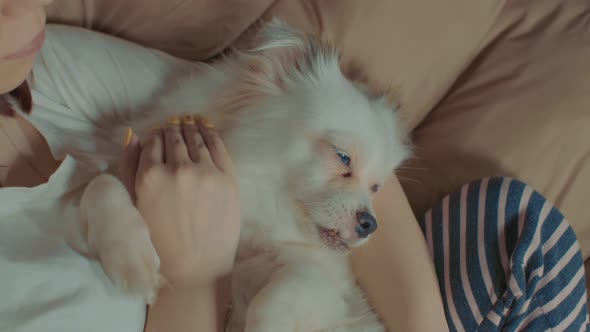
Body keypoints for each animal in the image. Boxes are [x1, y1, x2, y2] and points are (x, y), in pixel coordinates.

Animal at [78, 19, 412, 330]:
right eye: (343, 158)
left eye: (375, 188)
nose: (370, 224)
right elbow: (100, 183)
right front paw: (132, 262)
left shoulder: (331, 289)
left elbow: (280, 293)